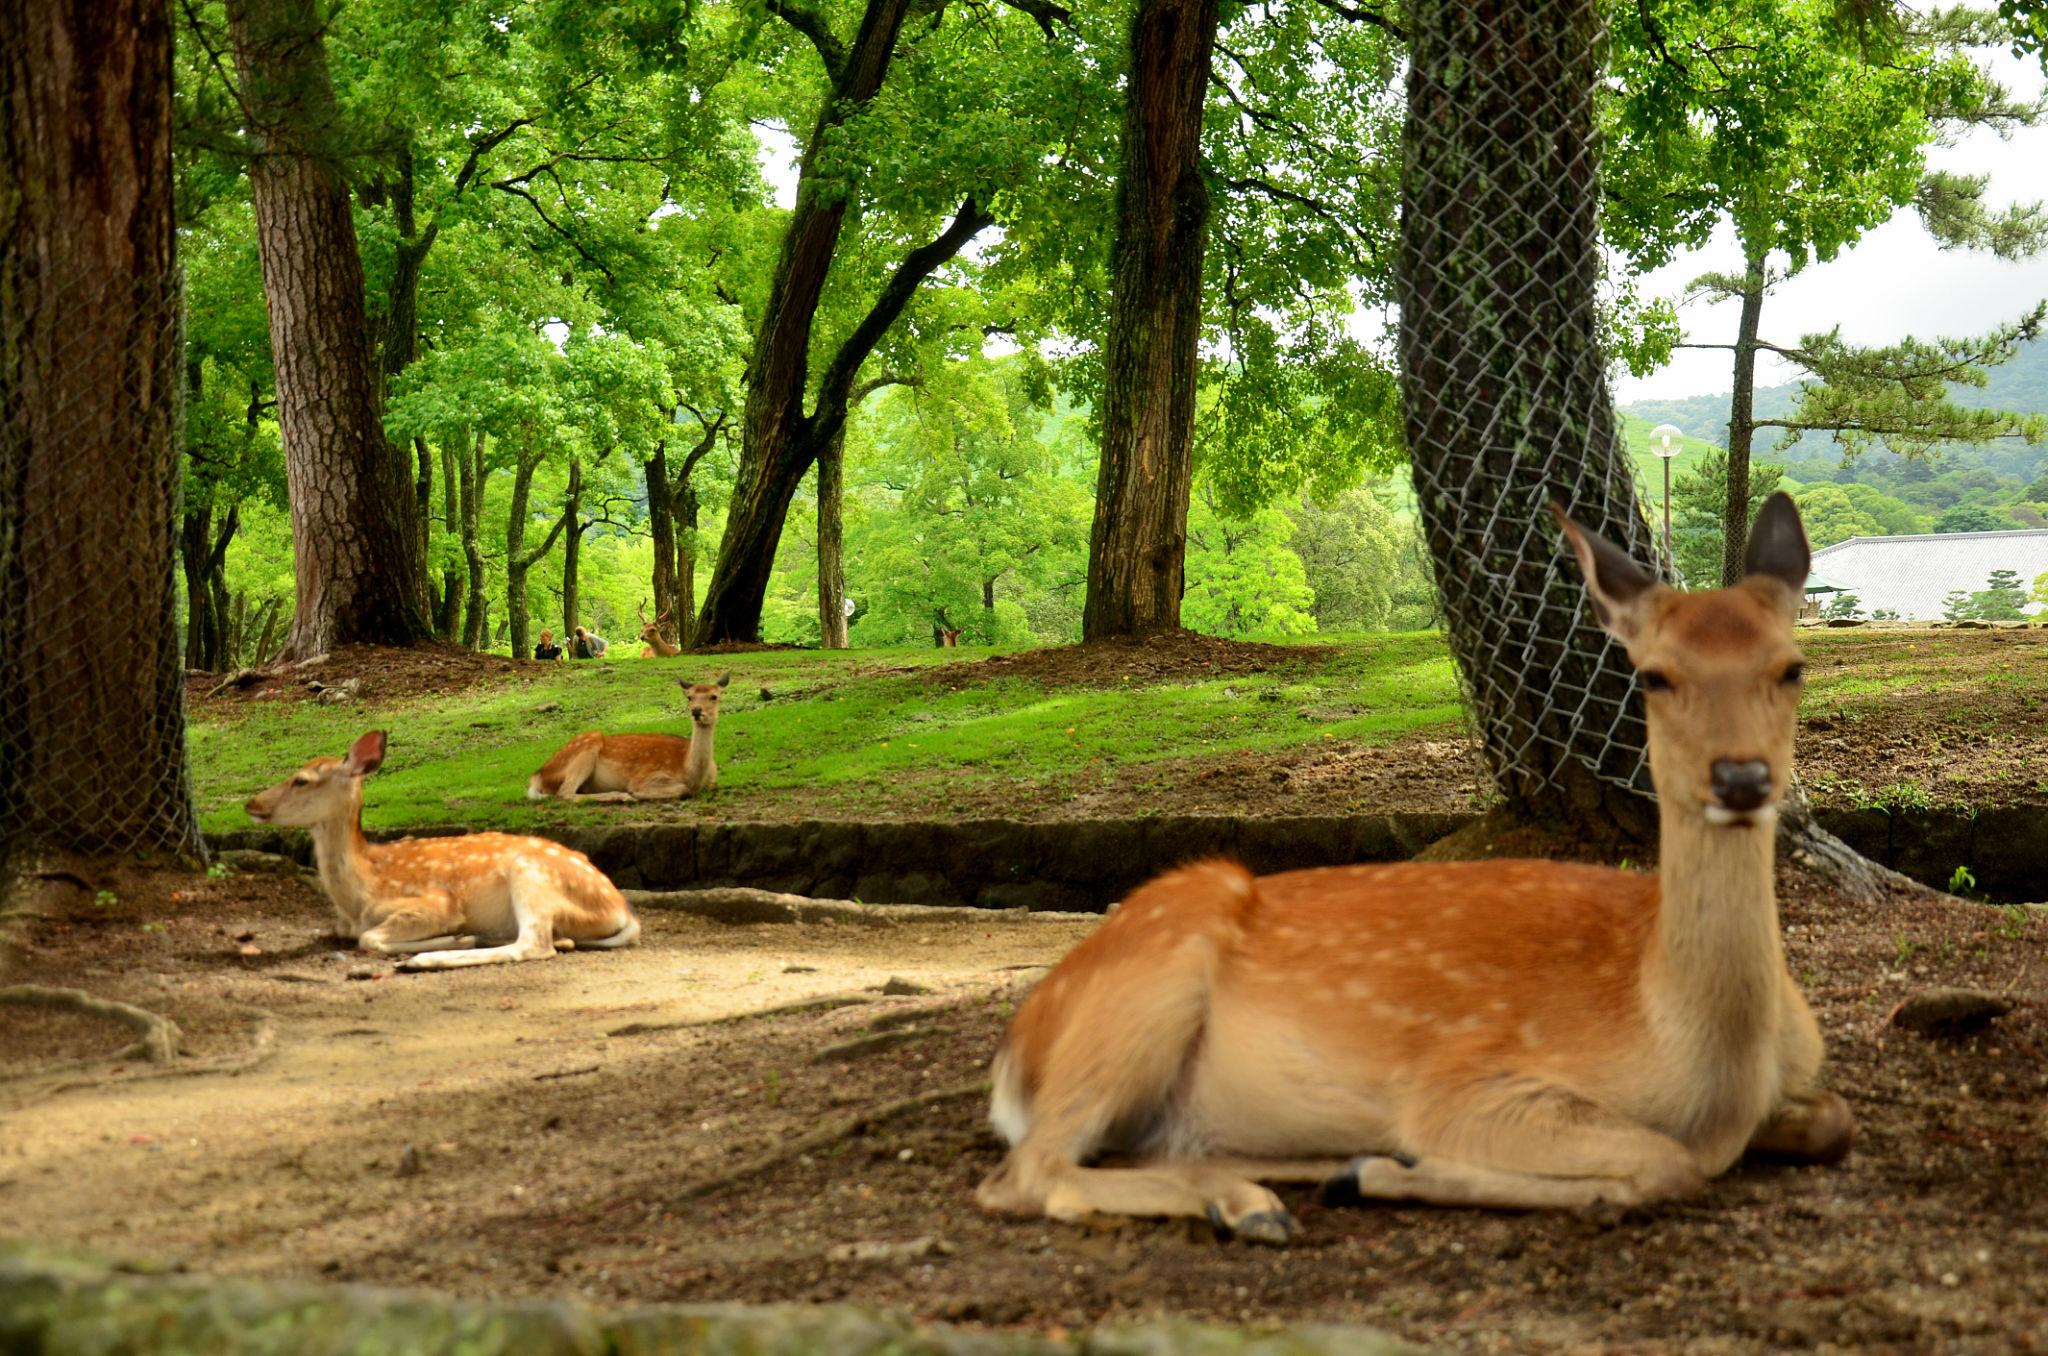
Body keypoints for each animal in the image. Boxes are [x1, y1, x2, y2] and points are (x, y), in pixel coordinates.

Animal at [244, 730, 641, 970]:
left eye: (301, 780)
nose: (252, 803)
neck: (360, 892)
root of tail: (622, 910)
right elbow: (348, 932)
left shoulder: (434, 902)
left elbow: (369, 937)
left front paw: (455, 935)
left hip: (532, 876)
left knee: (534, 943)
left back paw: (430, 957)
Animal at [527, 672, 730, 802]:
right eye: (689, 697)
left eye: (714, 696)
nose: (696, 711)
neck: (691, 773)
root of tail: (537, 777)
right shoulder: (645, 777)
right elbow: (681, 789)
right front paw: (634, 794)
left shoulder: (713, 780)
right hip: (586, 746)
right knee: (565, 793)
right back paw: (621, 796)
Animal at [975, 493, 1853, 1244]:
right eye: (1654, 674)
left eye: (1793, 666)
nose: (1741, 779)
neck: (1713, 1068)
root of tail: (1016, 1053)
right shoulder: (1464, 1082)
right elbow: (1667, 1162)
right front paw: (1391, 1171)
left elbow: (1833, 1122)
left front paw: (1371, 1170)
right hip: (1139, 992)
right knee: (1027, 1174)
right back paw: (1265, 1202)